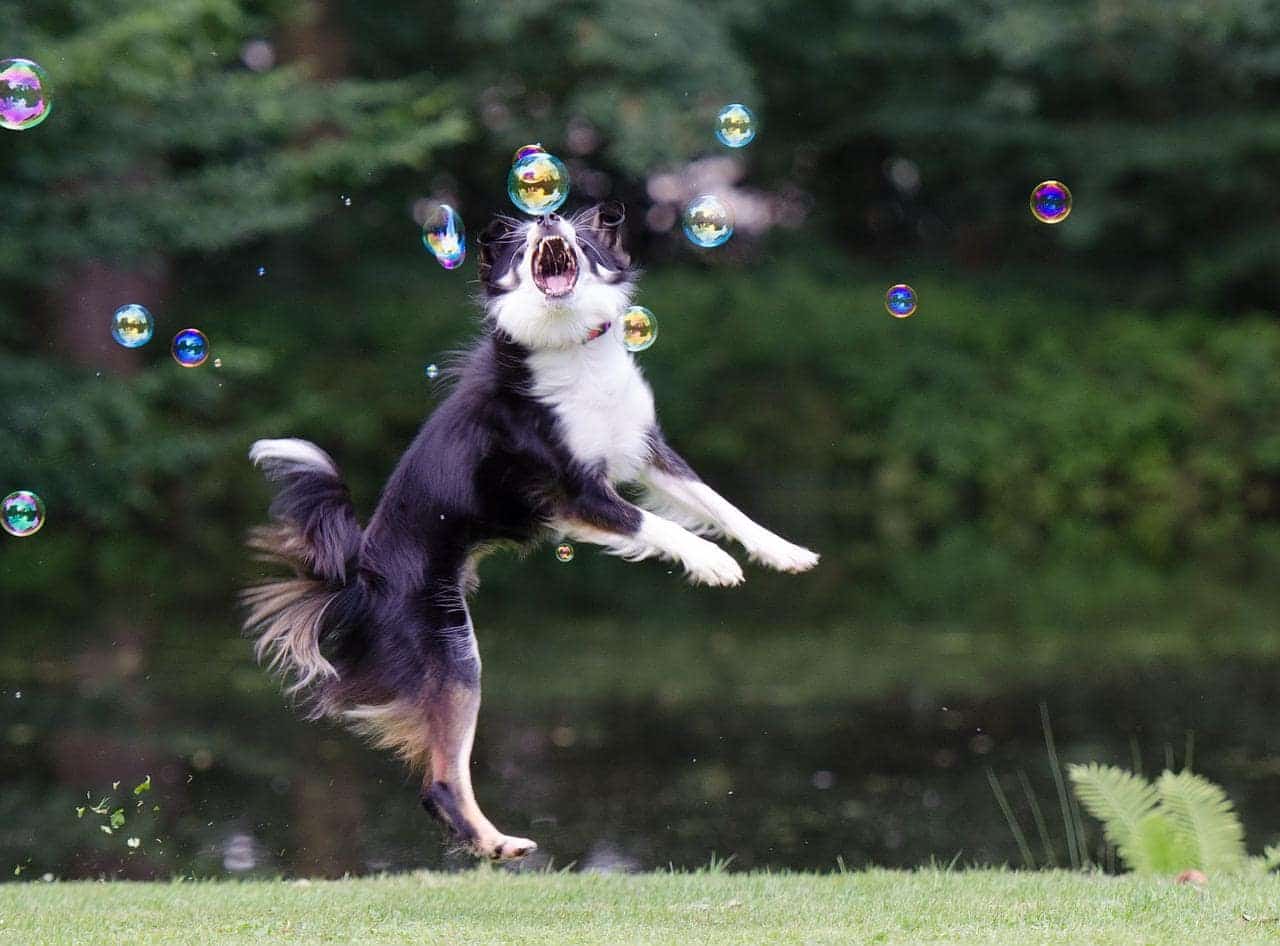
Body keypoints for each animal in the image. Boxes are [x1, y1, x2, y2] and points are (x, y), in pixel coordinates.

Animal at [241, 203, 819, 860]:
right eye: (519, 247)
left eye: (578, 233)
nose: (546, 217)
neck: (570, 344)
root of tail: (358, 578)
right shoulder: (573, 493)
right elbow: (654, 524)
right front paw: (713, 563)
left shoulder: (645, 451)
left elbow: (720, 505)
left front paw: (785, 551)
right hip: (451, 654)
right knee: (440, 781)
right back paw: (499, 844)